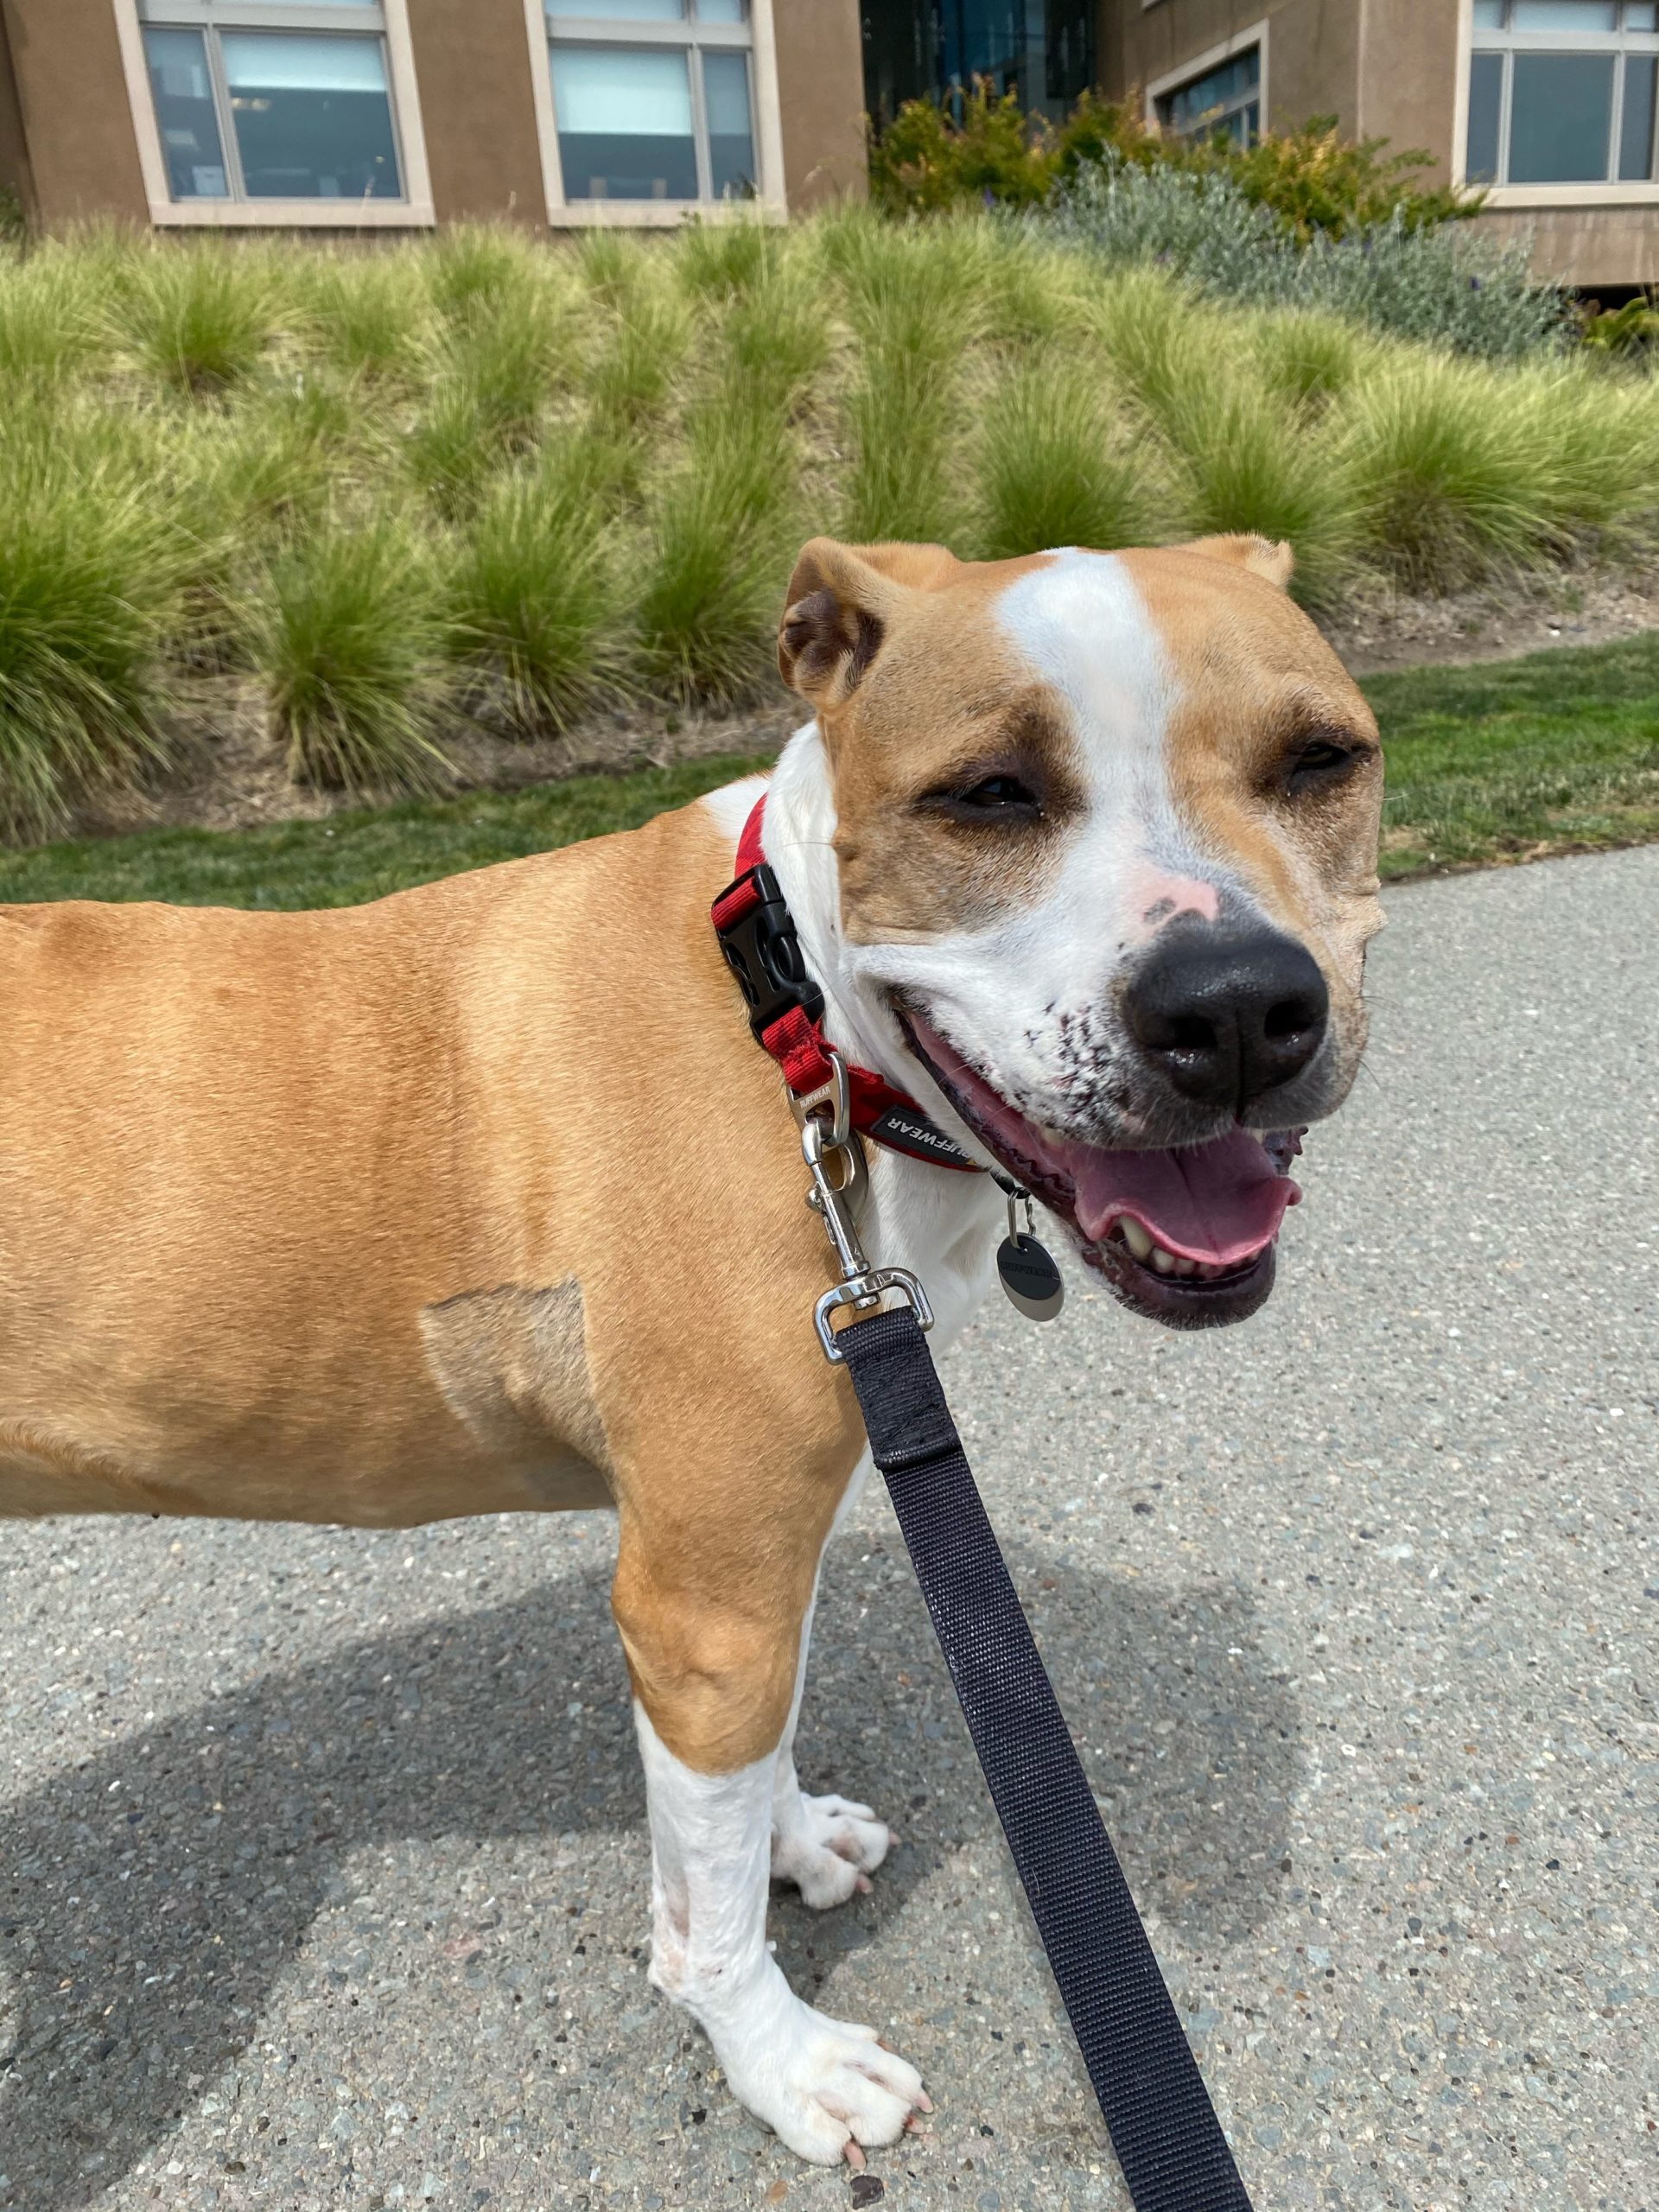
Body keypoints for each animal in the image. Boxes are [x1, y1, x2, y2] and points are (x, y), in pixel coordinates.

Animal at [3, 531, 1389, 2158]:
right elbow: (706, 1913)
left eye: (1321, 760)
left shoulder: (758, 1568)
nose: (1235, 1009)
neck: (789, 1011)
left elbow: (742, 1776)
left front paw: (790, 1840)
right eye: (989, 794)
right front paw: (780, 2060)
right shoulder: (705, 1599)